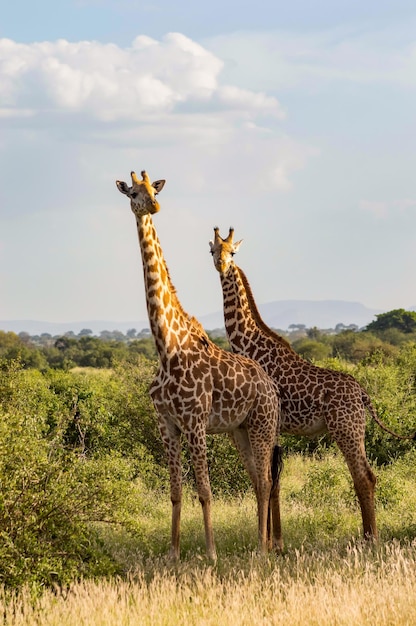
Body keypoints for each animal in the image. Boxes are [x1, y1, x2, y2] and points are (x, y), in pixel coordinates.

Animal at [115, 172, 282, 560]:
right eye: (133, 193)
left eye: (154, 188)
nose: (154, 206)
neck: (167, 347)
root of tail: (270, 385)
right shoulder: (166, 424)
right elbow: (176, 492)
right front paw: (173, 554)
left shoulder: (194, 422)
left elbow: (205, 491)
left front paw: (211, 553)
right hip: (240, 430)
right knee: (256, 480)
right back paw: (260, 544)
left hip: (263, 424)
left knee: (266, 480)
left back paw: (262, 549)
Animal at [211, 227, 416, 540]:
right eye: (212, 250)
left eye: (232, 252)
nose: (221, 265)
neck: (247, 342)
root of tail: (363, 394)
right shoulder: (275, 426)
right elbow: (274, 482)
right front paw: (276, 540)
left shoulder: (267, 422)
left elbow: (270, 480)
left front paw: (272, 540)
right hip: (353, 428)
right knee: (367, 476)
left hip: (345, 428)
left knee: (364, 476)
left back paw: (370, 538)